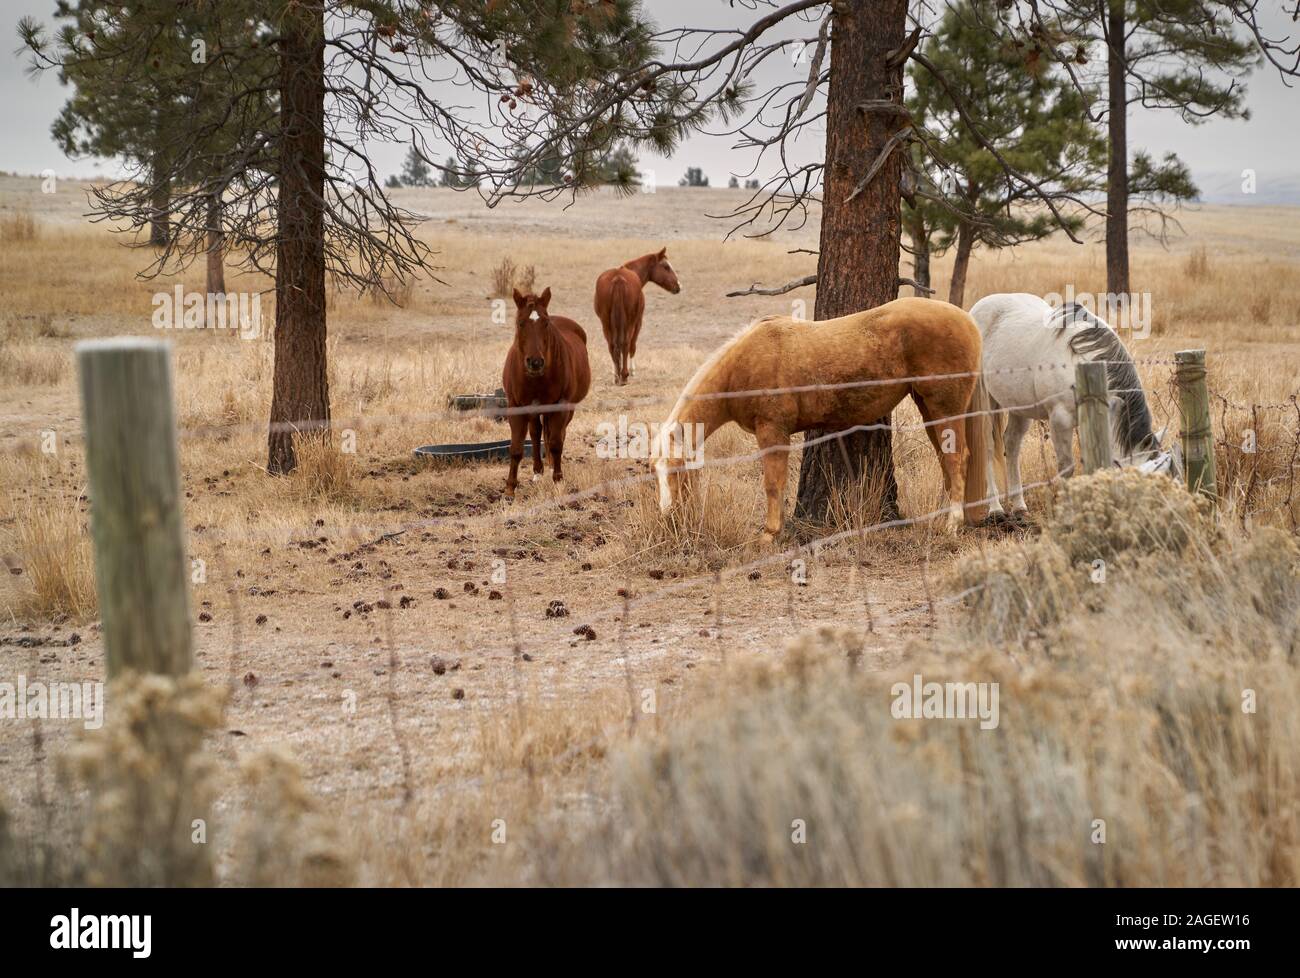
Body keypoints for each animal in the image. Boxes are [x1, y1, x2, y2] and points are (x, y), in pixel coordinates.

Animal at [501, 287, 591, 499]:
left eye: (546, 323)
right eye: (520, 322)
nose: (535, 362)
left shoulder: (560, 406)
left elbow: (557, 442)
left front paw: (558, 480)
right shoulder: (516, 407)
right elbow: (516, 448)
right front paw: (510, 489)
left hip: (566, 408)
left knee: (557, 434)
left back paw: (550, 467)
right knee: (536, 433)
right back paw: (538, 471)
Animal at [593, 247, 681, 386]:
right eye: (666, 266)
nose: (678, 286)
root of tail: (618, 278)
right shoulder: (638, 322)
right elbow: (632, 345)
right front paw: (632, 371)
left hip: (606, 323)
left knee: (612, 345)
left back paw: (617, 376)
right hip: (630, 322)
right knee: (626, 343)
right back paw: (624, 375)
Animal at [650, 297, 988, 541]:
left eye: (677, 471)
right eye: (655, 471)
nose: (667, 516)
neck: (745, 364)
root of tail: (968, 321)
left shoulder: (772, 432)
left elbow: (773, 484)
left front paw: (770, 534)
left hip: (944, 407)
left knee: (956, 459)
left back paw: (952, 524)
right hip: (929, 408)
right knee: (946, 460)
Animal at [968, 292, 1176, 518]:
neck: (1081, 362)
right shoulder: (1060, 420)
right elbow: (1066, 468)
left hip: (1019, 407)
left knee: (1012, 444)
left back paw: (1019, 506)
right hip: (985, 401)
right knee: (988, 445)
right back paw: (995, 507)